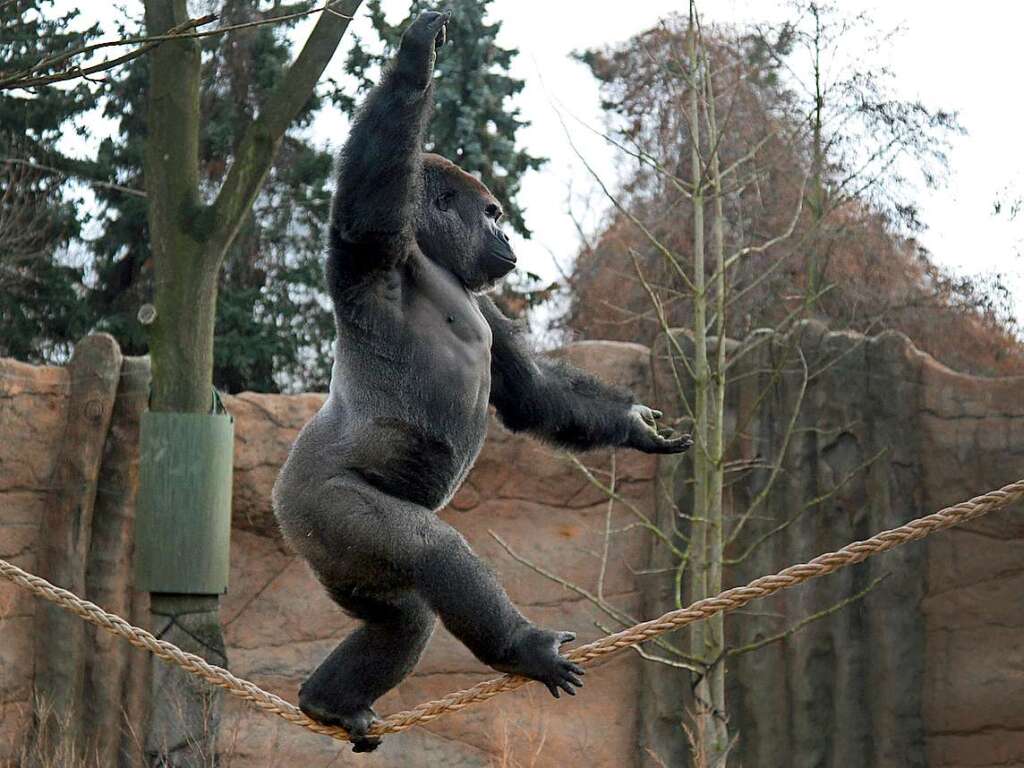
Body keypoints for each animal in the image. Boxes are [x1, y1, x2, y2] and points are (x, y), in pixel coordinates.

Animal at [272, 9, 692, 753]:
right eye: (490, 213)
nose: (510, 239)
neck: (434, 260)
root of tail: (280, 506)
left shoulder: (486, 300)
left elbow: (531, 393)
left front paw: (635, 428)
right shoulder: (377, 252)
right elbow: (363, 213)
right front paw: (415, 59)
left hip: (331, 556)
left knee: (399, 618)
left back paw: (329, 700)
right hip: (316, 507)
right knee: (432, 552)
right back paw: (520, 648)